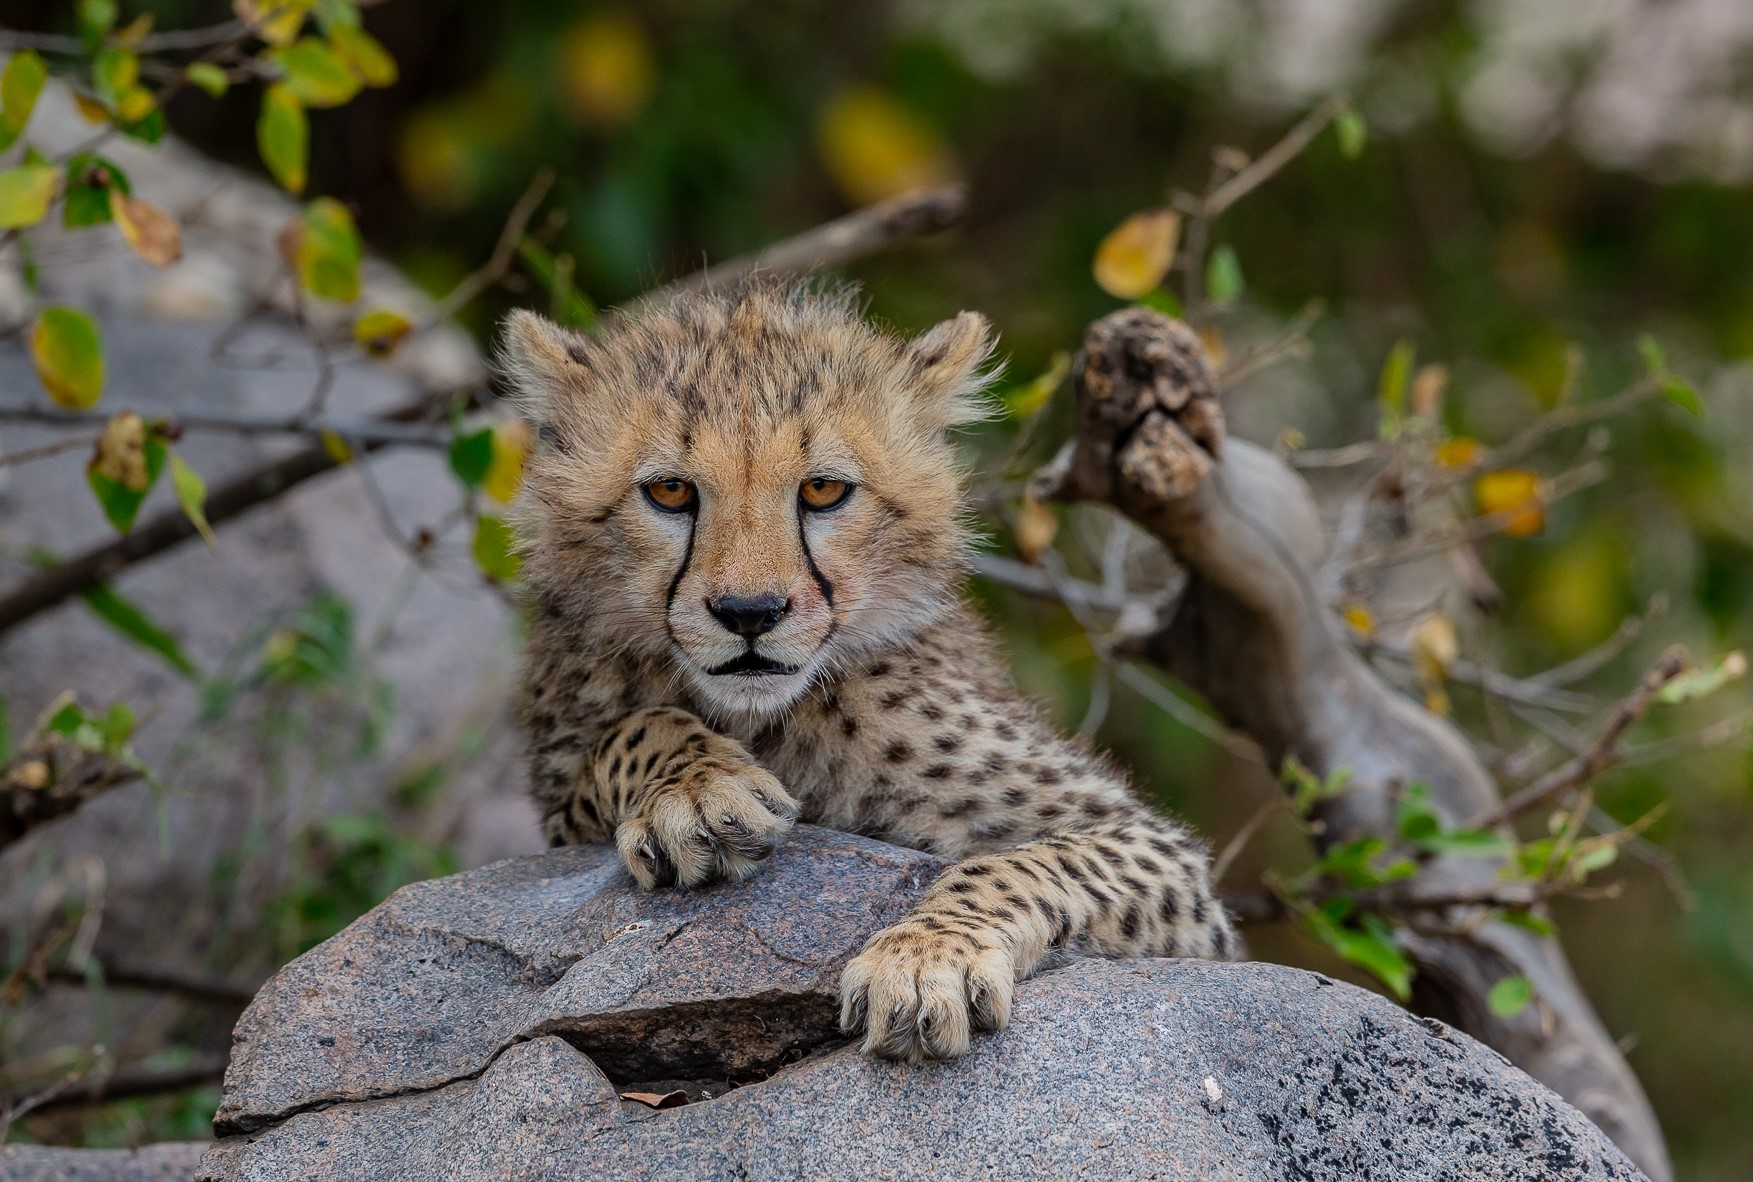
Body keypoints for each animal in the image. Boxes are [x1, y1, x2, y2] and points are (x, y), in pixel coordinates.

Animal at [500, 282, 1236, 1064]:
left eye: (823, 489)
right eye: (669, 490)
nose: (749, 613)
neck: (761, 716)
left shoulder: (1163, 863)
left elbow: (1028, 863)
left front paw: (925, 959)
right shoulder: (559, 817)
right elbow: (636, 728)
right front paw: (700, 791)